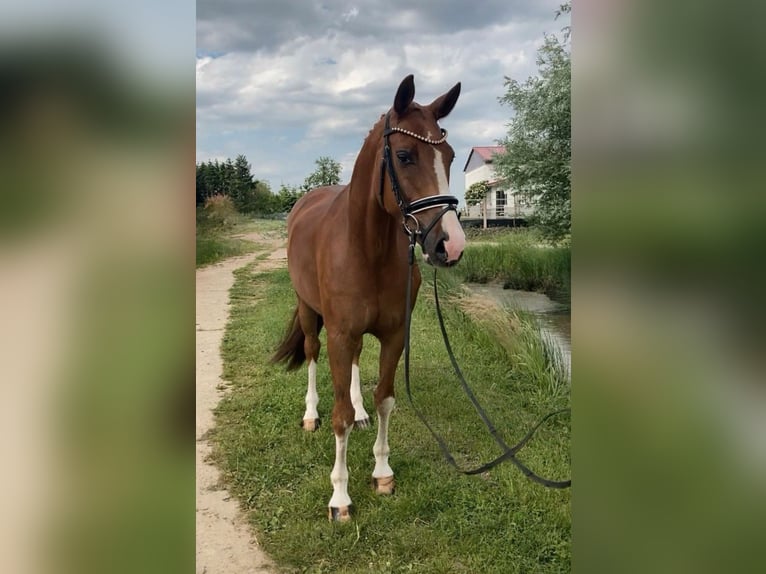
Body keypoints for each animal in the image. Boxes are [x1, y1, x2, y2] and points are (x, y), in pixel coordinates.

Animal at [276, 75, 468, 520]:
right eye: (404, 155)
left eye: (449, 156)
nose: (450, 245)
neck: (367, 248)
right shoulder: (339, 335)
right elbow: (339, 417)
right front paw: (340, 498)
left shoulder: (395, 335)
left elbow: (385, 399)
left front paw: (382, 472)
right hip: (308, 311)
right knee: (310, 352)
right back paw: (309, 414)